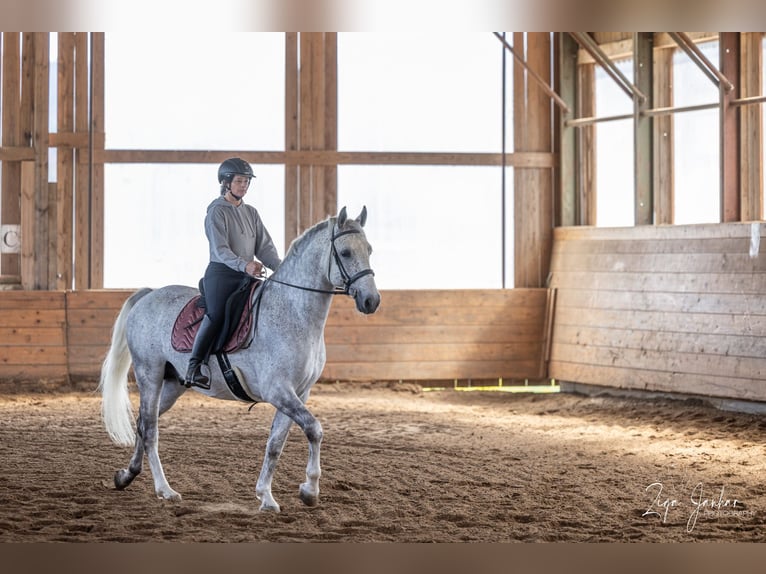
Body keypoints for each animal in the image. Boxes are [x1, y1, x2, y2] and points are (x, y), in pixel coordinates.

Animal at [99, 207, 380, 512]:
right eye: (345, 252)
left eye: (369, 249)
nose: (371, 301)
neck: (294, 313)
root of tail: (148, 295)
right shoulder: (278, 391)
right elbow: (314, 429)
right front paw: (309, 490)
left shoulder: (299, 393)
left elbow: (276, 444)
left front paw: (266, 496)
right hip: (149, 375)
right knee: (150, 429)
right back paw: (165, 489)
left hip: (173, 384)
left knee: (142, 423)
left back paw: (126, 475)